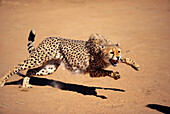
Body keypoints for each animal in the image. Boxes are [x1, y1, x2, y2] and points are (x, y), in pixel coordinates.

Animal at [0, 29, 139, 87]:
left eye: (118, 51)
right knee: (17, 66)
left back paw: (25, 85)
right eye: (111, 52)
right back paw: (2, 81)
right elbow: (107, 71)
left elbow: (124, 59)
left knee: (30, 70)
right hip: (38, 58)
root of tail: (48, 38)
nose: (117, 56)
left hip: (50, 68)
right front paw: (114, 74)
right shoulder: (93, 71)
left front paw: (135, 65)